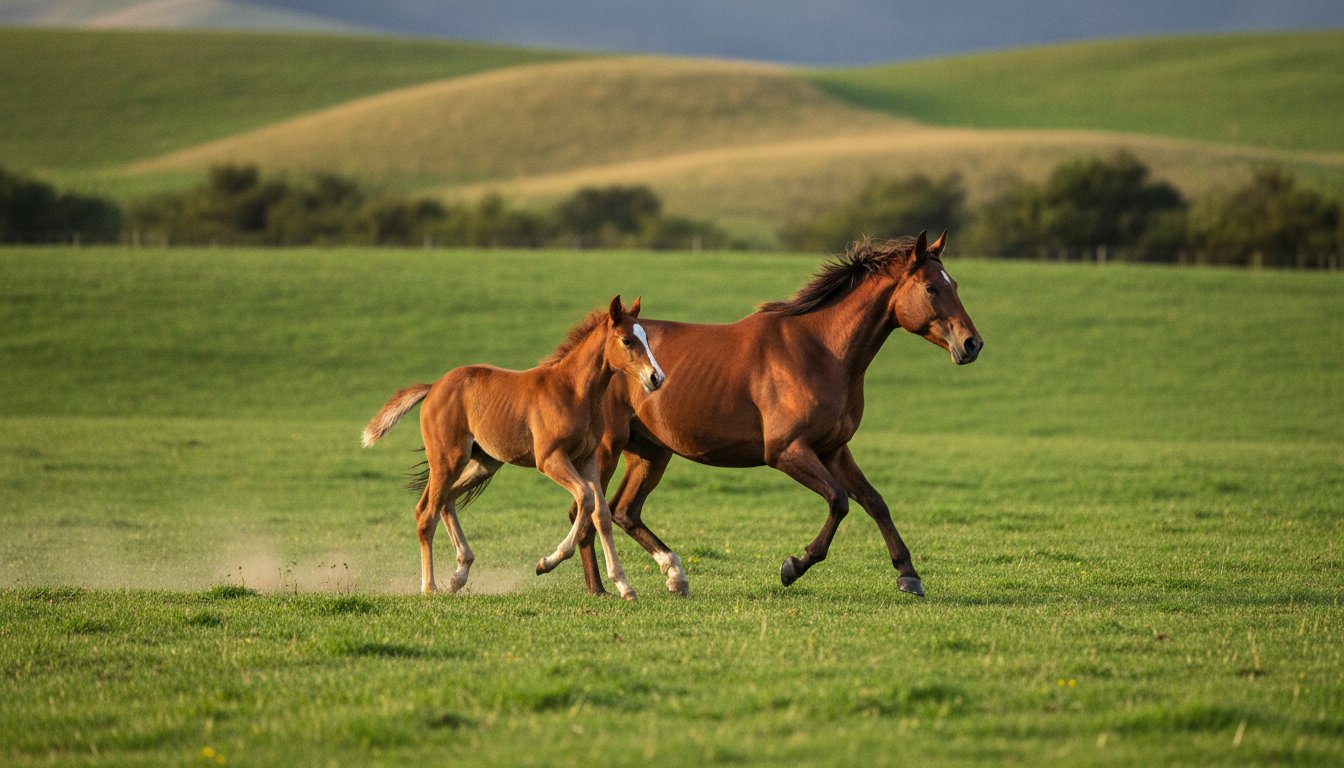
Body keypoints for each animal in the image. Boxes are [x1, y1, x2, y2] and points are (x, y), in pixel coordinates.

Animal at [361, 296, 665, 600]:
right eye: (627, 340)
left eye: (646, 338)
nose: (656, 378)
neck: (572, 391)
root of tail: (434, 386)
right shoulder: (550, 459)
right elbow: (585, 497)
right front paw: (546, 563)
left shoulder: (586, 459)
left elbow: (600, 512)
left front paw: (624, 585)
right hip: (447, 459)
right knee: (426, 513)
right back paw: (429, 587)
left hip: (483, 463)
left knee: (447, 501)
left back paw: (459, 574)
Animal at [566, 231, 982, 598]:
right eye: (931, 288)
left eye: (955, 284)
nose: (972, 344)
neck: (820, 351)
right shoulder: (786, 451)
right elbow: (839, 500)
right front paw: (794, 566)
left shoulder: (834, 450)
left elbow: (875, 501)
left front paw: (909, 575)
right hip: (606, 450)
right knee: (587, 510)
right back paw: (599, 588)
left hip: (650, 452)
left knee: (623, 511)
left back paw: (673, 576)